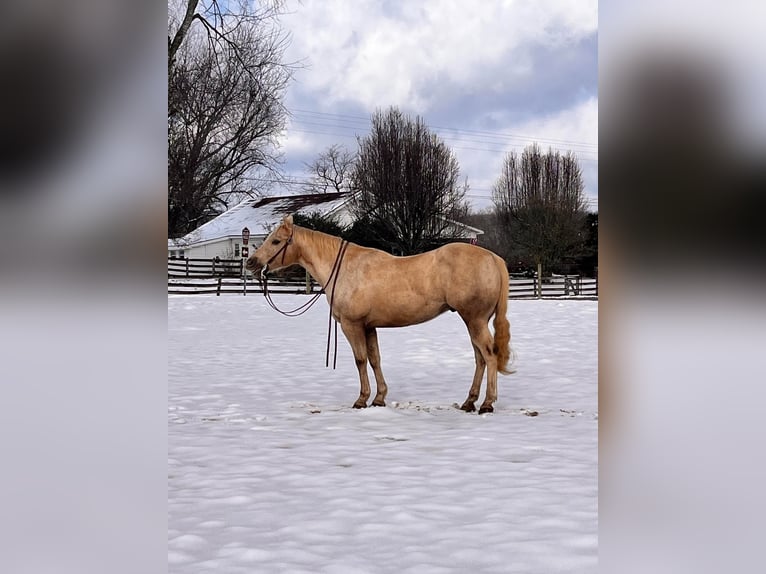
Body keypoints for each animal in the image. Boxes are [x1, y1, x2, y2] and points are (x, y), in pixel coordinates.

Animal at [245, 215, 513, 414]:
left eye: (277, 241)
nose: (251, 263)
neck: (345, 268)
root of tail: (492, 257)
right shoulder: (369, 326)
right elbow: (375, 359)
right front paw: (379, 398)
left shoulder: (352, 325)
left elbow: (360, 360)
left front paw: (362, 399)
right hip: (473, 321)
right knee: (480, 358)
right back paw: (469, 402)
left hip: (475, 320)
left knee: (489, 356)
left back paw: (487, 404)